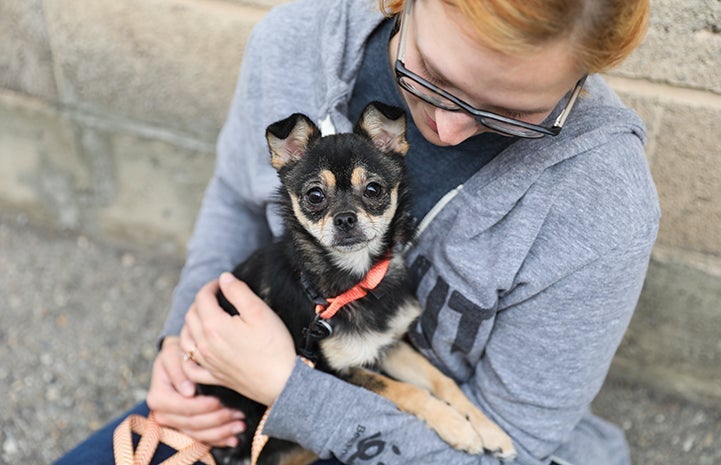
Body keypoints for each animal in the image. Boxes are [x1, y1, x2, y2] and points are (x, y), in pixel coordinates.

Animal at [198, 102, 512, 464]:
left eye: (373, 190)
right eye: (315, 195)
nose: (345, 218)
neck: (355, 283)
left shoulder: (385, 345)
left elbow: (441, 380)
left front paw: (489, 430)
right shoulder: (335, 369)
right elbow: (406, 391)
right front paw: (458, 427)